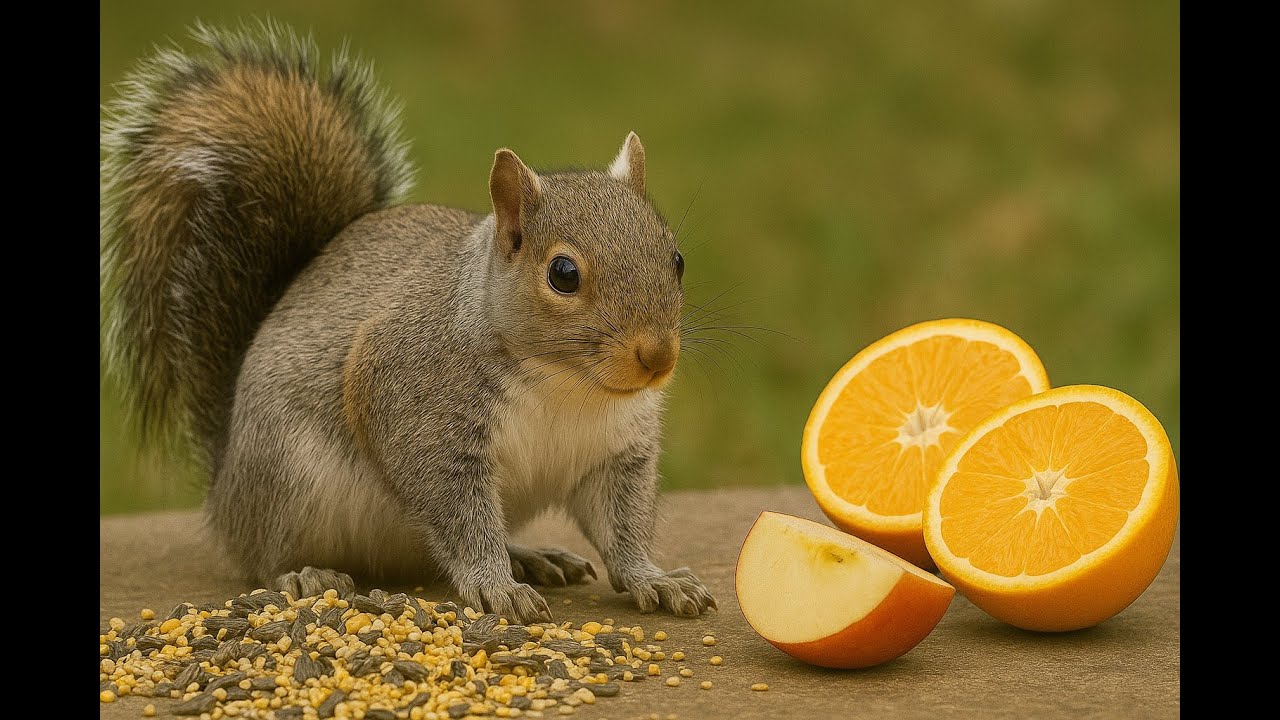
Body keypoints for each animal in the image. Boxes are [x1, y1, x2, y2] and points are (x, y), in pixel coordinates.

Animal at [100, 21, 715, 623]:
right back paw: (306, 574)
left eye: (677, 258)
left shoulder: (617, 452)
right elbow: (457, 513)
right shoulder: (419, 410)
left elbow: (621, 525)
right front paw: (496, 585)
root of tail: (224, 481)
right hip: (286, 482)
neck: (567, 384)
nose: (657, 357)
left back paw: (530, 554)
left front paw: (653, 579)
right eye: (563, 274)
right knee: (262, 557)